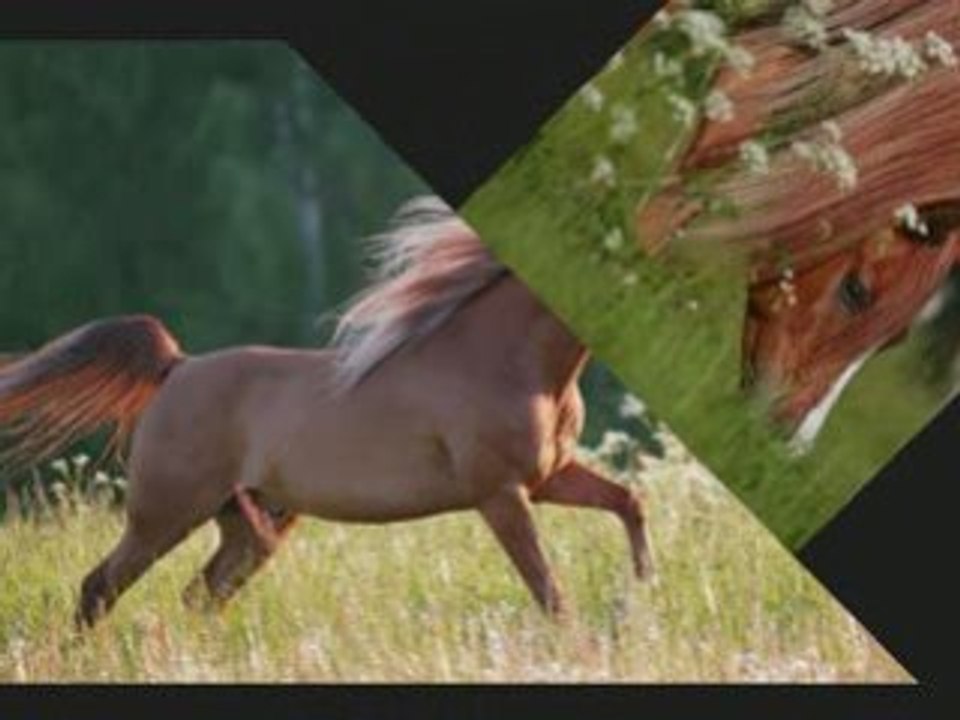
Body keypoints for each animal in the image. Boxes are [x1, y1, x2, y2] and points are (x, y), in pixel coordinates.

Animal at [0, 197, 652, 629]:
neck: (505, 362)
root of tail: (176, 367)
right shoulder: (501, 495)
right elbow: (550, 592)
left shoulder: (547, 478)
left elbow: (628, 501)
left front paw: (645, 591)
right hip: (163, 514)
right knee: (100, 587)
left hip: (251, 525)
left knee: (199, 595)